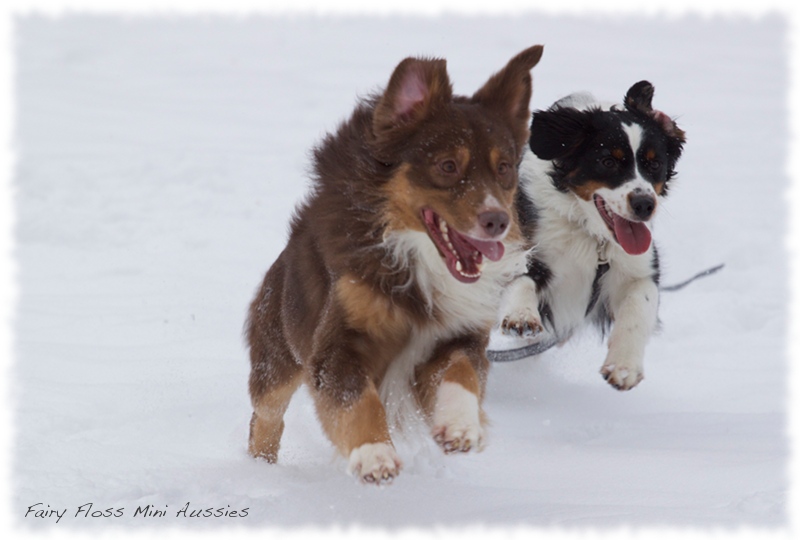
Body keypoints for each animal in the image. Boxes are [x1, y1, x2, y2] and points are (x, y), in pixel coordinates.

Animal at [244, 47, 544, 486]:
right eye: (448, 165)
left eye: (504, 167)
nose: (498, 221)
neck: (416, 259)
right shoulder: (336, 346)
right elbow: (356, 399)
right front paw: (374, 454)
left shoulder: (459, 336)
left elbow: (462, 373)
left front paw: (460, 426)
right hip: (277, 353)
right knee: (265, 416)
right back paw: (258, 472)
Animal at [504, 81, 684, 388]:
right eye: (608, 161)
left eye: (654, 163)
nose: (644, 205)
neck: (592, 236)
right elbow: (521, 279)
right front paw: (521, 316)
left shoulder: (638, 267)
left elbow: (640, 304)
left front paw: (624, 366)